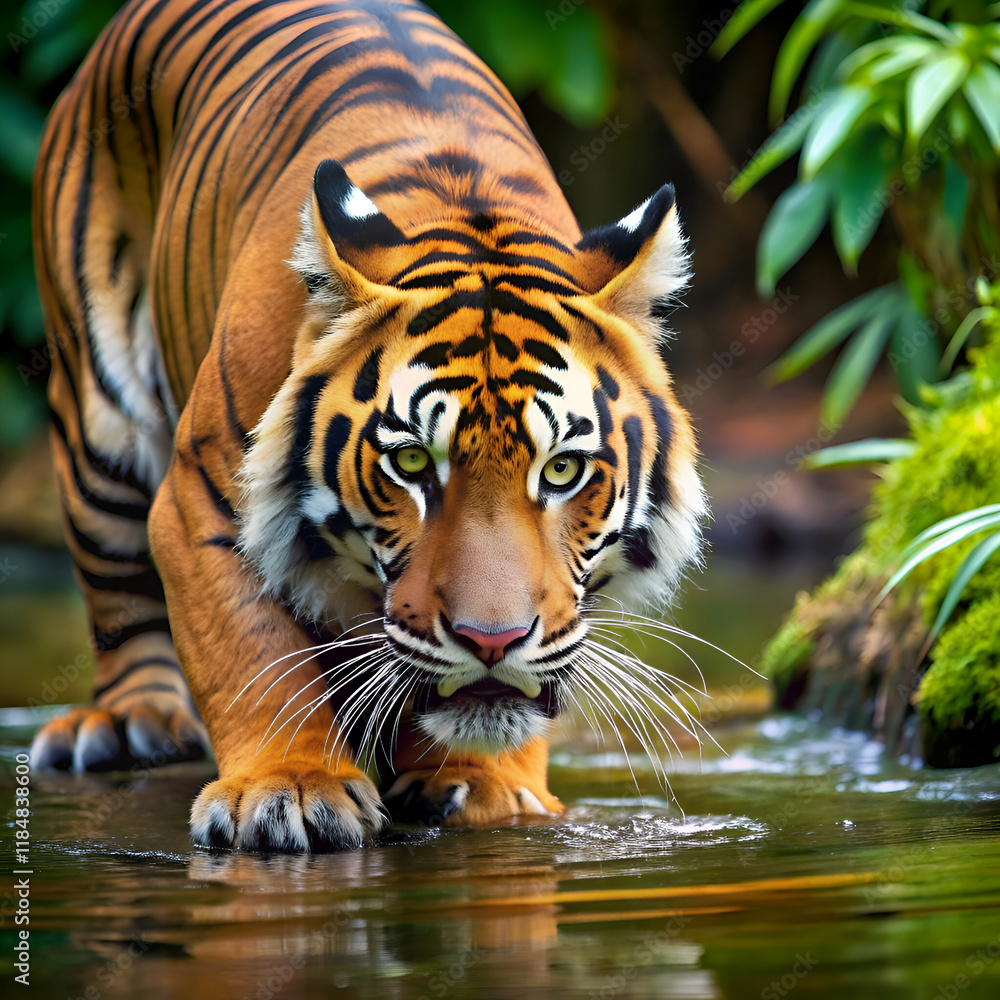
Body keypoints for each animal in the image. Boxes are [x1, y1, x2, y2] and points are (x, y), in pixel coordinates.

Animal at [31, 0, 706, 852]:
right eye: (412, 464)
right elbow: (251, 654)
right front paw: (288, 786)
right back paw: (130, 723)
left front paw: (486, 785)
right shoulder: (198, 498)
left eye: (561, 470)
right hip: (100, 422)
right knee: (118, 594)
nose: (492, 640)